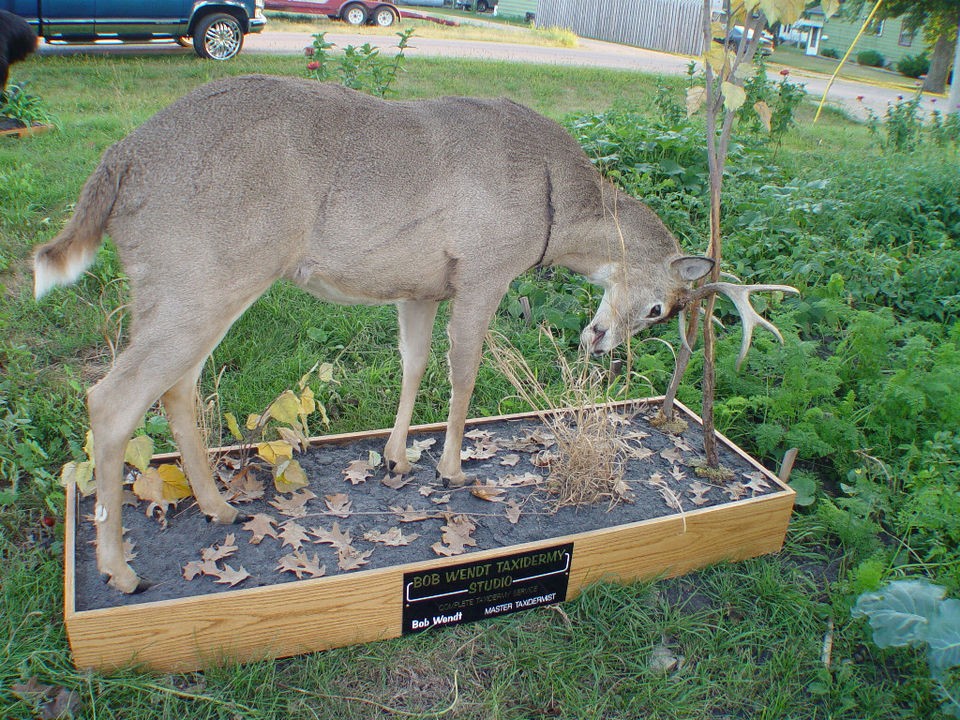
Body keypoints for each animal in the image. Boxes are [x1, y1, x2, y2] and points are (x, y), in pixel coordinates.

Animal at [35, 73, 788, 592]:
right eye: (660, 310)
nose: (599, 344)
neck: (559, 208)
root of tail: (120, 159)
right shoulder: (484, 269)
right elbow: (463, 368)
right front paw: (452, 467)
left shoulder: (423, 286)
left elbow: (414, 360)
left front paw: (397, 457)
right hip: (203, 273)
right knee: (111, 398)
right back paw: (121, 571)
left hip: (178, 286)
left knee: (175, 388)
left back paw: (218, 510)